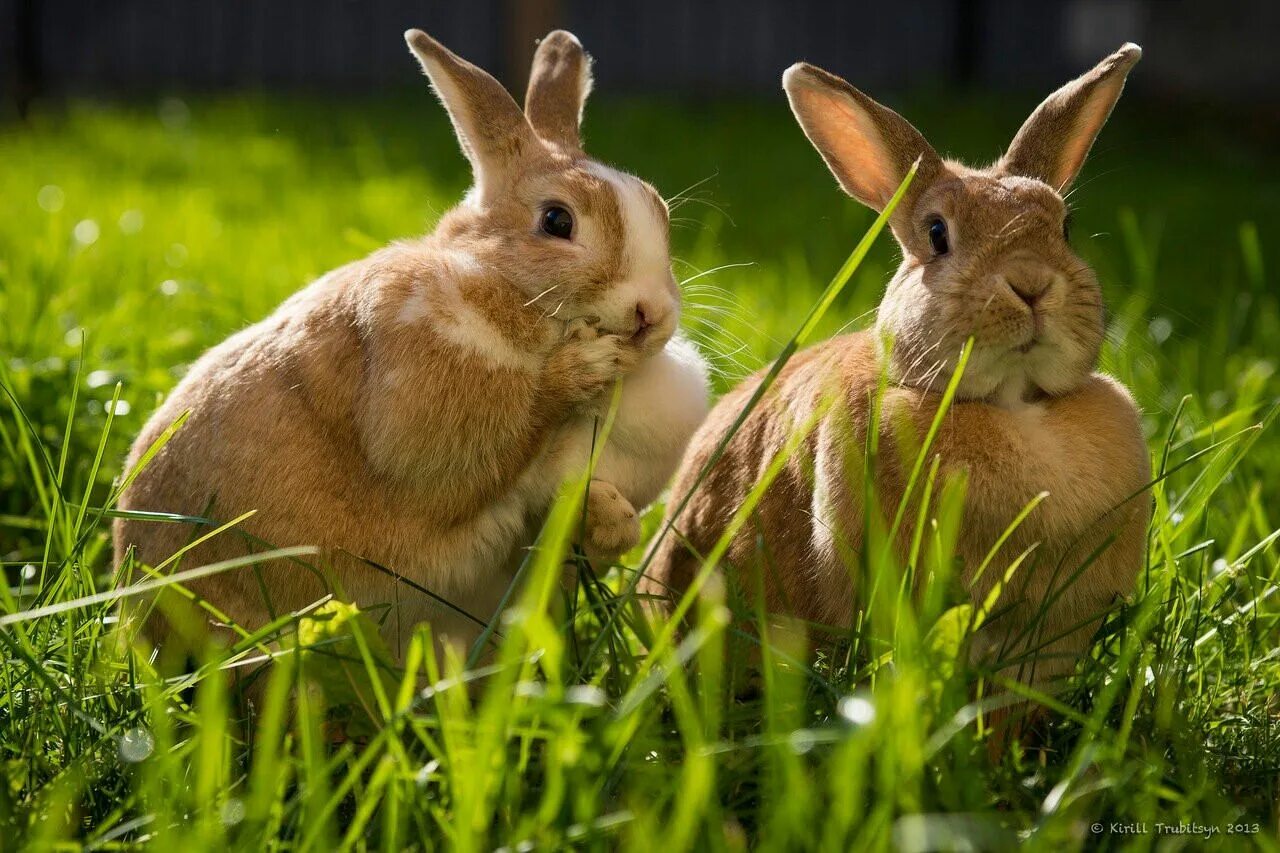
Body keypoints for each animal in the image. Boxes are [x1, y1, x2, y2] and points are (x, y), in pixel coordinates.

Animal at [112, 28, 711, 655]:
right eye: (556, 221)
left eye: (659, 208)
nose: (651, 314)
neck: (501, 287)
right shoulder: (423, 386)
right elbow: (491, 438)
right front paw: (584, 368)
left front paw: (610, 518)